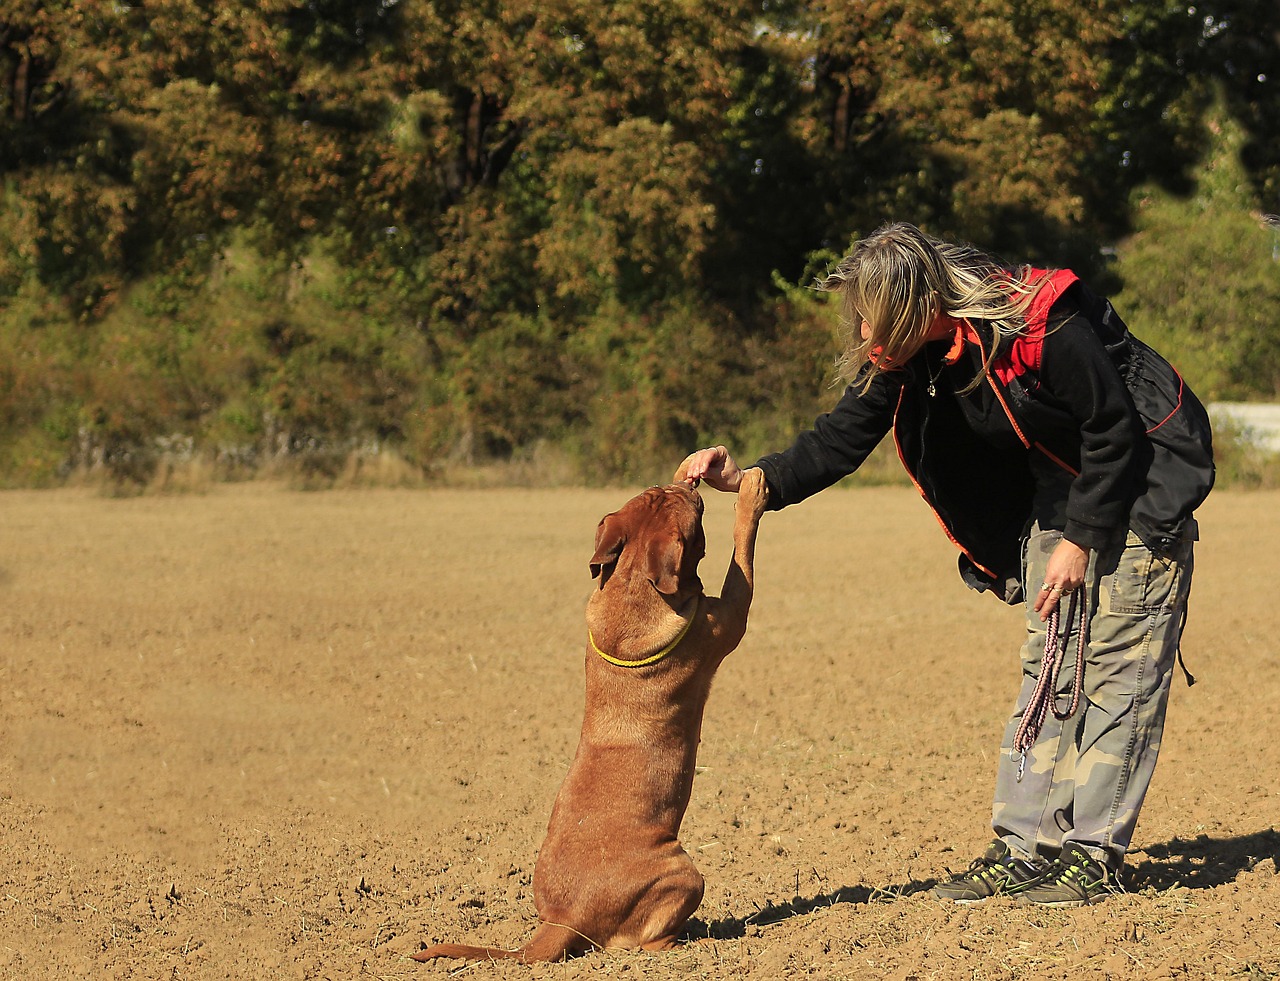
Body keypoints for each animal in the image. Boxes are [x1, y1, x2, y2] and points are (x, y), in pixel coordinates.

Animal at [414, 468, 762, 968]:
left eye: (662, 491)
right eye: (688, 511)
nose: (689, 481)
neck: (633, 584)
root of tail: (563, 921)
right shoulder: (730, 615)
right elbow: (743, 549)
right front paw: (753, 492)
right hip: (684, 873)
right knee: (651, 942)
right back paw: (705, 941)